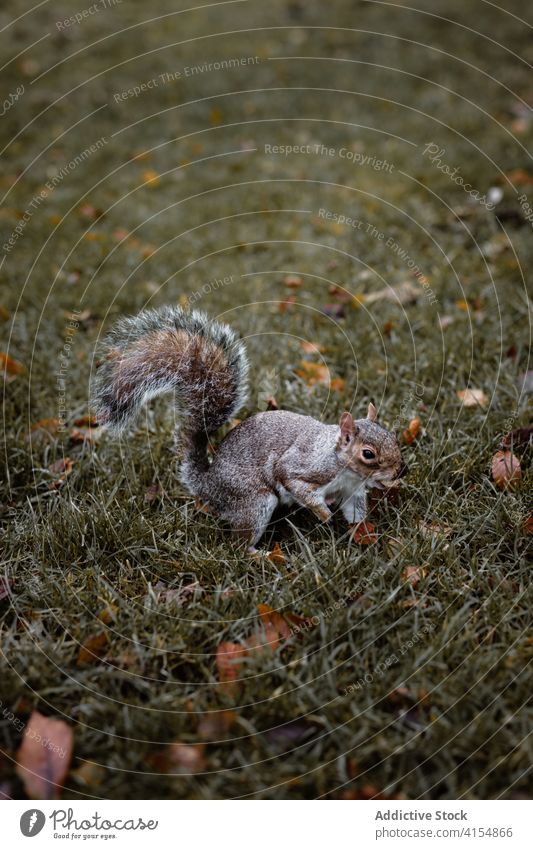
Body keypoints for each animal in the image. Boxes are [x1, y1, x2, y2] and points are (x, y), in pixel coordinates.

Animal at [91, 304, 408, 548]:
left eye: (393, 437)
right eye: (368, 454)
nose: (401, 470)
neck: (346, 469)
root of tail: (207, 483)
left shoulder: (353, 493)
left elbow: (356, 515)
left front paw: (364, 535)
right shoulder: (307, 466)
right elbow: (294, 481)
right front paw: (324, 514)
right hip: (255, 501)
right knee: (239, 544)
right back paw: (260, 555)